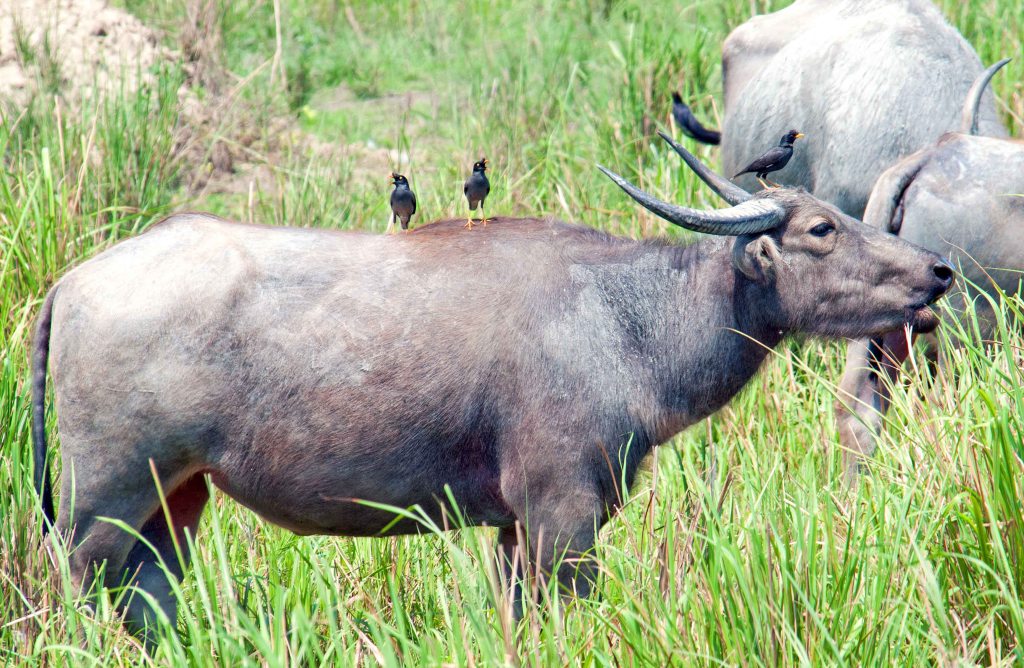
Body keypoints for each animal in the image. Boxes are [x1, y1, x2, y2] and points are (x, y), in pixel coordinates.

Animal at [33, 139, 952, 632]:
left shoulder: (516, 529)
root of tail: (73, 282)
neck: (622, 317)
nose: (937, 272)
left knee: (148, 601)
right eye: (822, 229)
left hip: (174, 506)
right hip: (99, 507)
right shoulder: (561, 513)